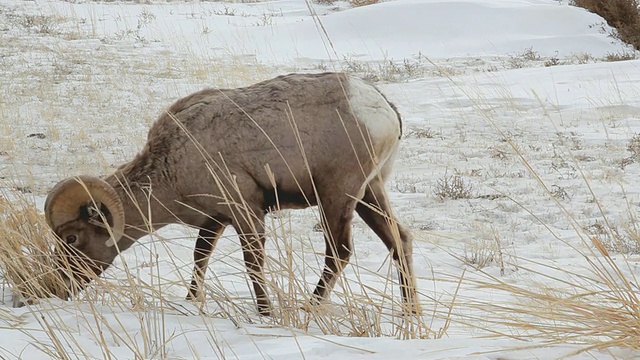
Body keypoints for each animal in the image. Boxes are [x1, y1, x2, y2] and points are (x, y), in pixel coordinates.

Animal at [43, 71, 416, 314]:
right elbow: (200, 259)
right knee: (399, 240)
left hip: (338, 196)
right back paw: (410, 311)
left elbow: (253, 263)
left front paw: (265, 313)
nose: (58, 289)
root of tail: (382, 109)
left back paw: (308, 309)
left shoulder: (246, 212)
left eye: (73, 238)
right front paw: (192, 302)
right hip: (370, 193)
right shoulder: (214, 221)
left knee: (339, 253)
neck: (174, 162)